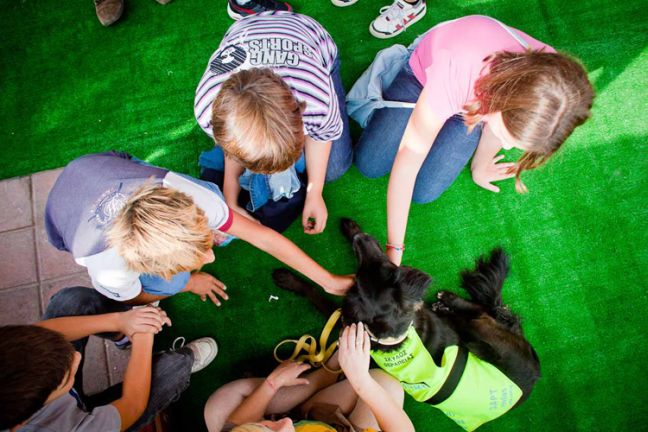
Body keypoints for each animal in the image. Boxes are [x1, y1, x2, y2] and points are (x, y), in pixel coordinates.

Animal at [274, 221, 540, 430]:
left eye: (385, 267)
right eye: (363, 272)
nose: (361, 238)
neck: (392, 332)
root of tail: (534, 376)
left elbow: (315, 294)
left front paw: (289, 279)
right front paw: (351, 228)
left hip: (482, 333)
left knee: (481, 312)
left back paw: (449, 301)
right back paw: (445, 304)